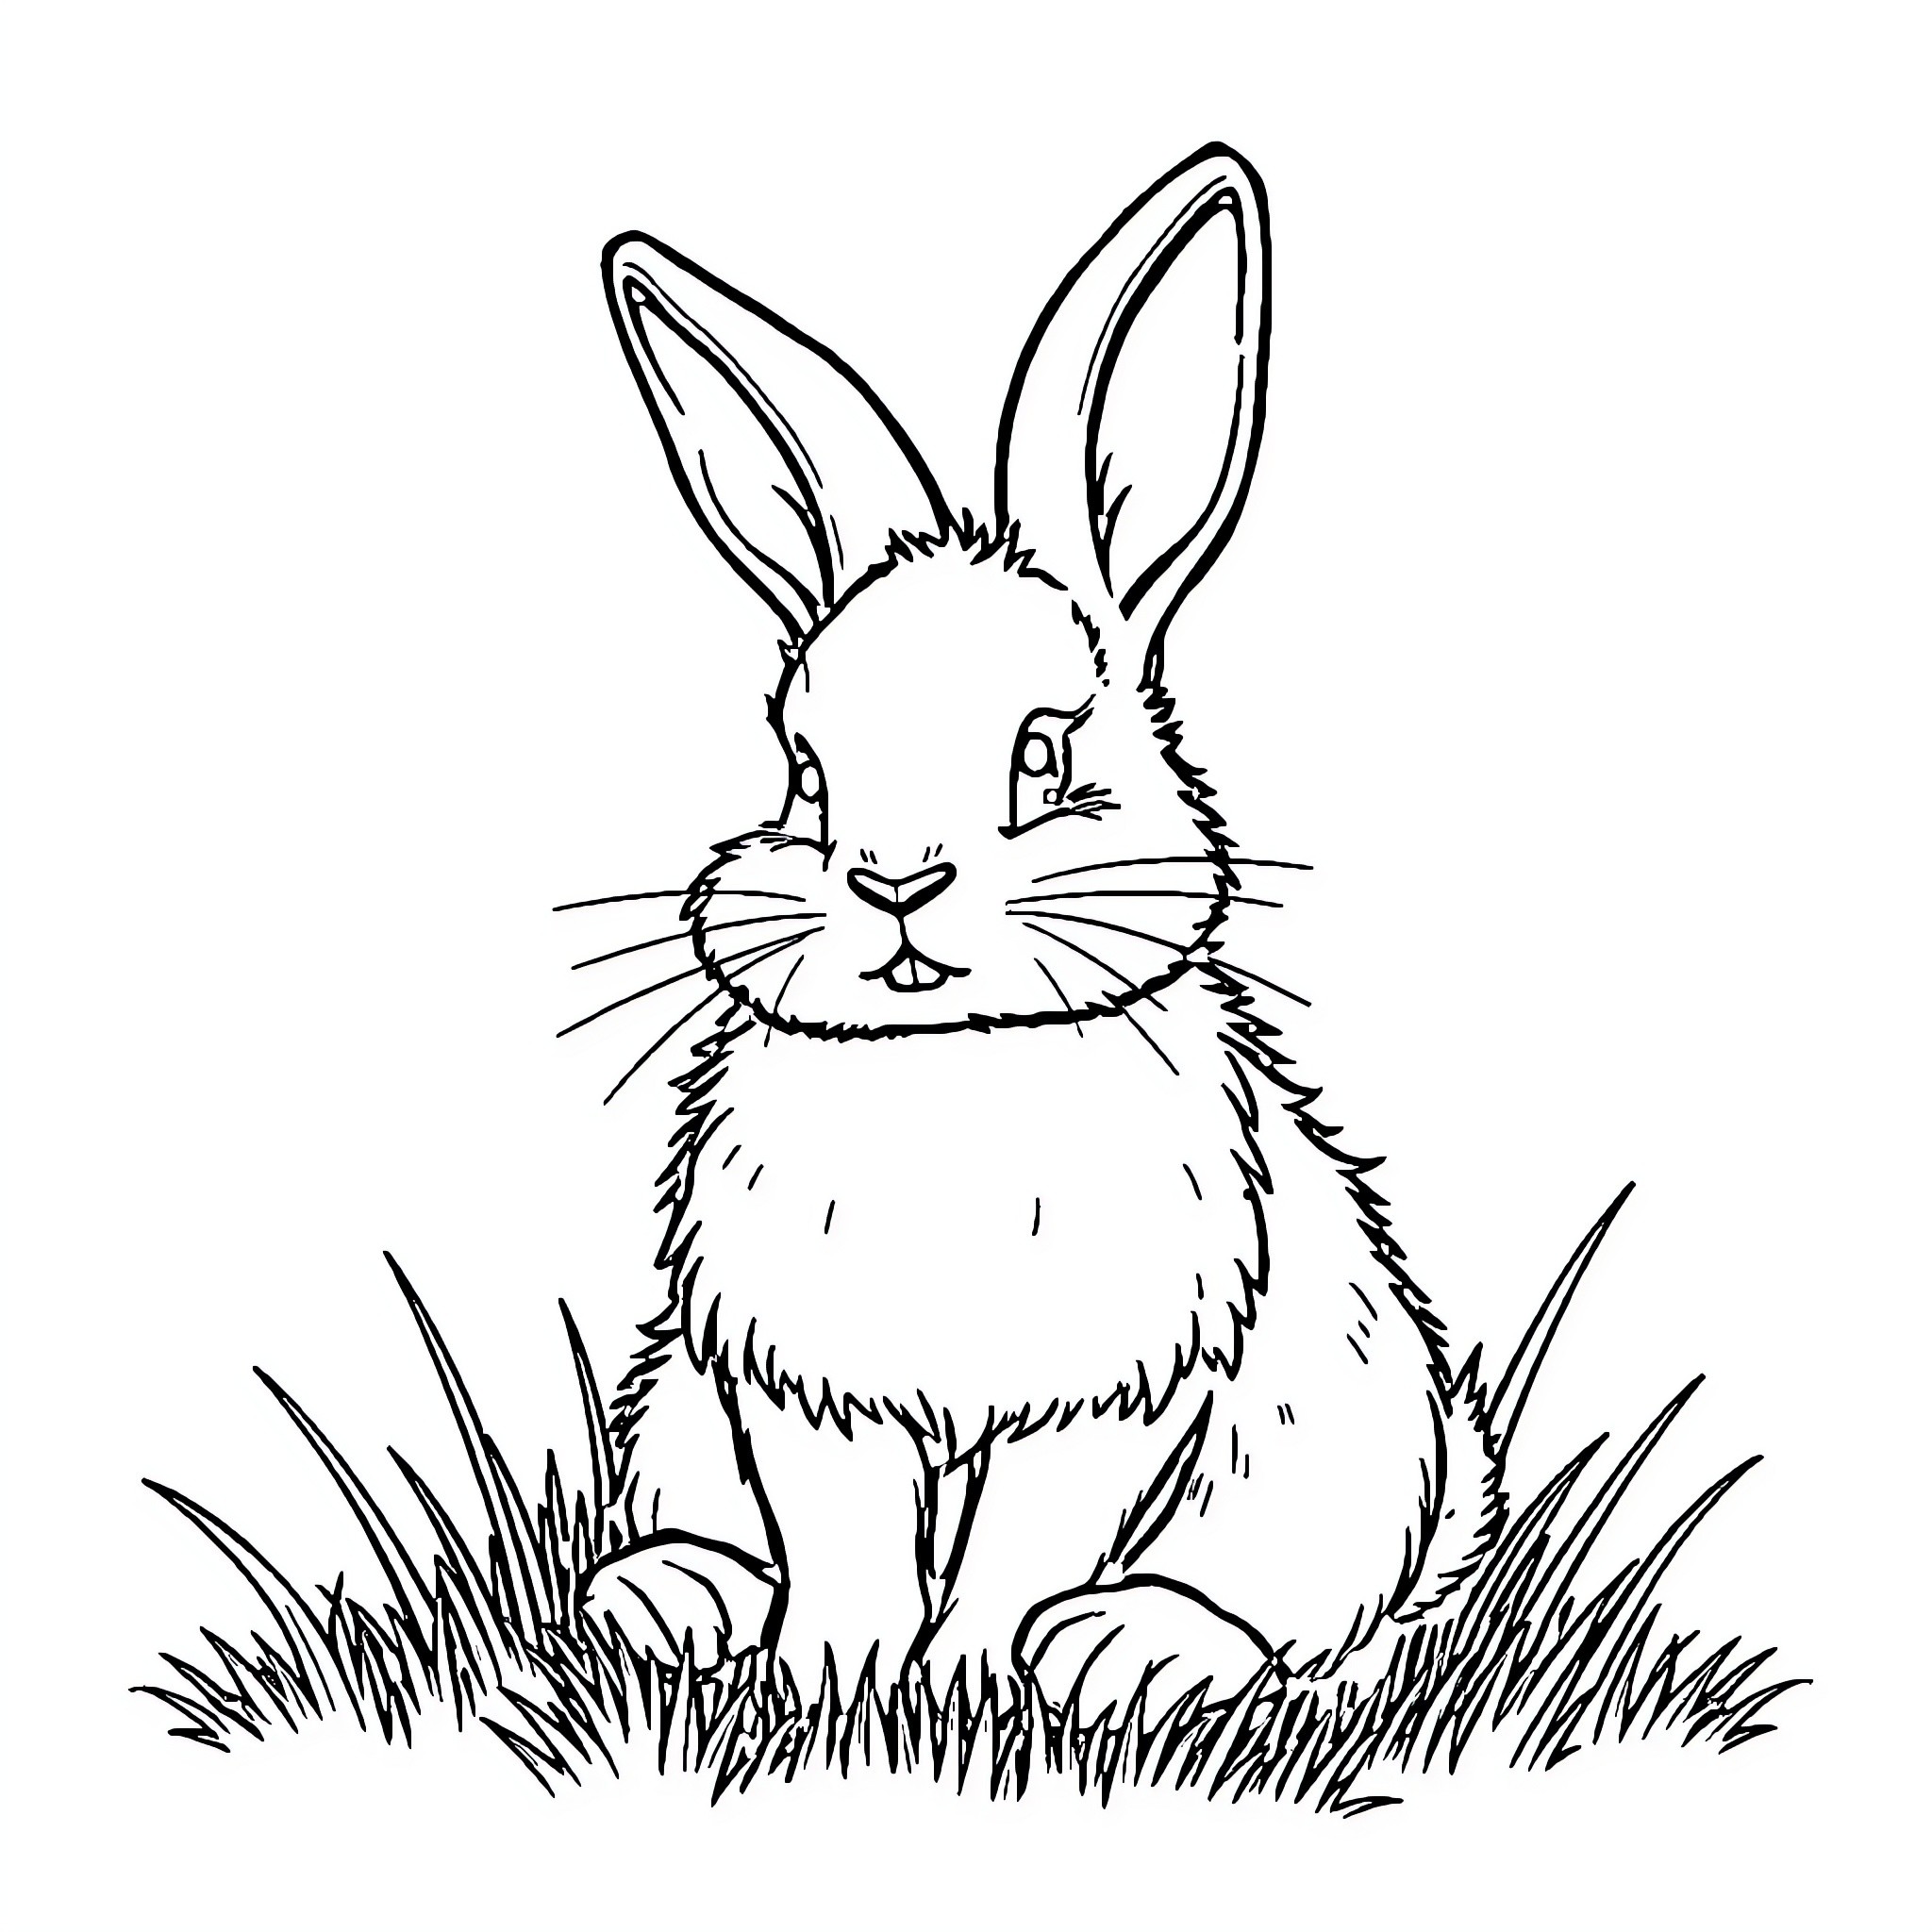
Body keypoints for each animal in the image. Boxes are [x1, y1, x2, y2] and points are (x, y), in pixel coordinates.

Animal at [575, 144, 1506, 1716]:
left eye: (1044, 754)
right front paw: (831, 1688)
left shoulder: (1111, 1394)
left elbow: (1018, 1550)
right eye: (806, 771)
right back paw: (668, 1599)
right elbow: (848, 1550)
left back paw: (1135, 1649)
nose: (894, 882)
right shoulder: (803, 1393)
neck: (954, 1065)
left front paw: (966, 1688)